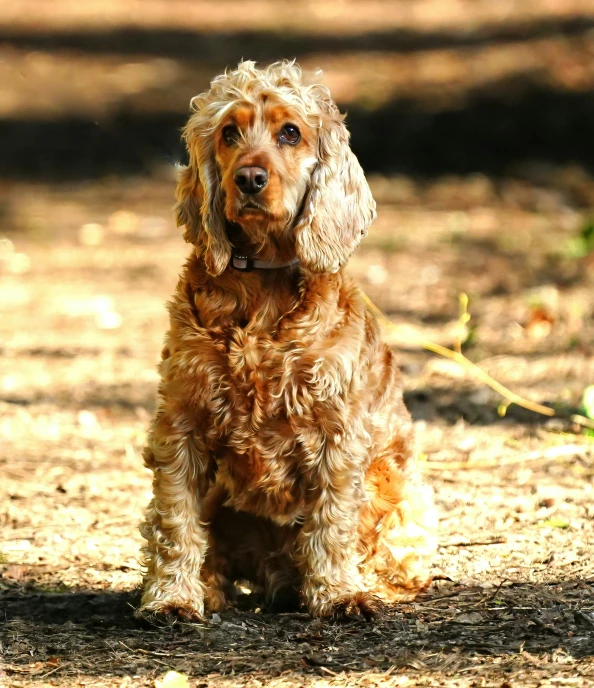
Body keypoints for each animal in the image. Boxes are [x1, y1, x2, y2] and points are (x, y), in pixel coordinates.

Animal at [139, 57, 434, 620]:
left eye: (290, 133)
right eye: (229, 133)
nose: (250, 178)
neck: (262, 286)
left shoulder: (337, 432)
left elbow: (333, 520)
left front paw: (339, 594)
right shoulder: (183, 422)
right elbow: (174, 520)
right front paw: (172, 597)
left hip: (399, 489)